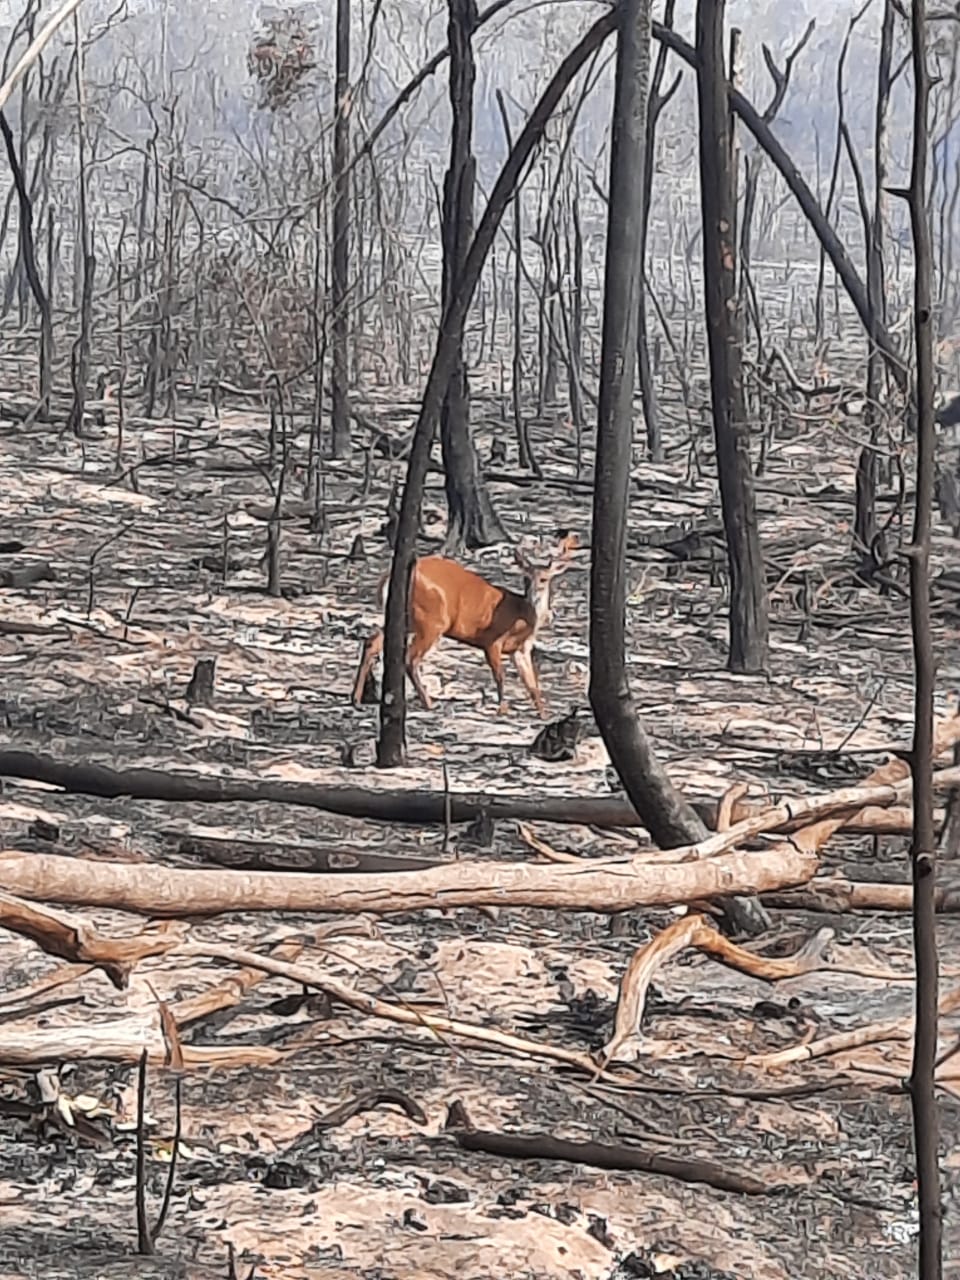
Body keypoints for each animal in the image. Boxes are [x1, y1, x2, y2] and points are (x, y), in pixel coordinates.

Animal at [353, 532, 578, 721]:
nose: (534, 593)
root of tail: (388, 577)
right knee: (410, 658)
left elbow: (532, 684)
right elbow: (500, 675)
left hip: (408, 619)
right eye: (526, 579)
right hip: (432, 619)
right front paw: (502, 709)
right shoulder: (492, 640)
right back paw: (429, 703)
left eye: (544, 579)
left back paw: (355, 698)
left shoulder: (521, 649)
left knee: (373, 641)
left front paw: (544, 714)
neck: (522, 616)